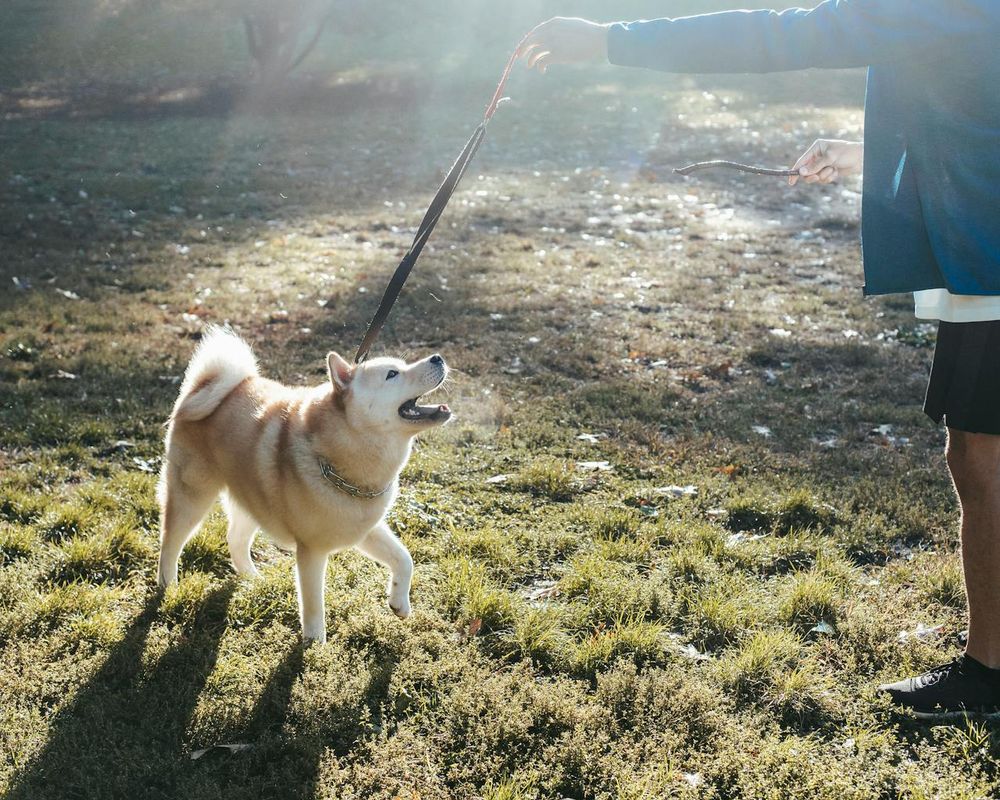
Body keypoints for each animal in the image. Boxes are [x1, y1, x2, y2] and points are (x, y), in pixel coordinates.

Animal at [157, 324, 454, 644]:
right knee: (170, 543)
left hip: (252, 500)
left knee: (235, 539)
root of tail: (201, 388)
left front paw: (400, 602)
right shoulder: (311, 551)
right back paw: (167, 586)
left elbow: (404, 558)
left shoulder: (365, 528)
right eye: (392, 374)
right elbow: (313, 603)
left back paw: (252, 578)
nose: (437, 357)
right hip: (192, 496)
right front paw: (315, 645)